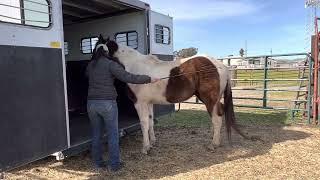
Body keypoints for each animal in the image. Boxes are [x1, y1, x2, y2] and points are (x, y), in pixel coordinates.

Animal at [96, 37, 258, 154]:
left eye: (100, 50)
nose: (93, 63)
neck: (134, 66)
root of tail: (221, 66)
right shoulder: (148, 103)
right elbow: (150, 121)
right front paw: (153, 142)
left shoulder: (139, 103)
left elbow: (144, 123)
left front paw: (145, 148)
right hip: (215, 100)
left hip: (209, 100)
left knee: (217, 119)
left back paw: (213, 144)